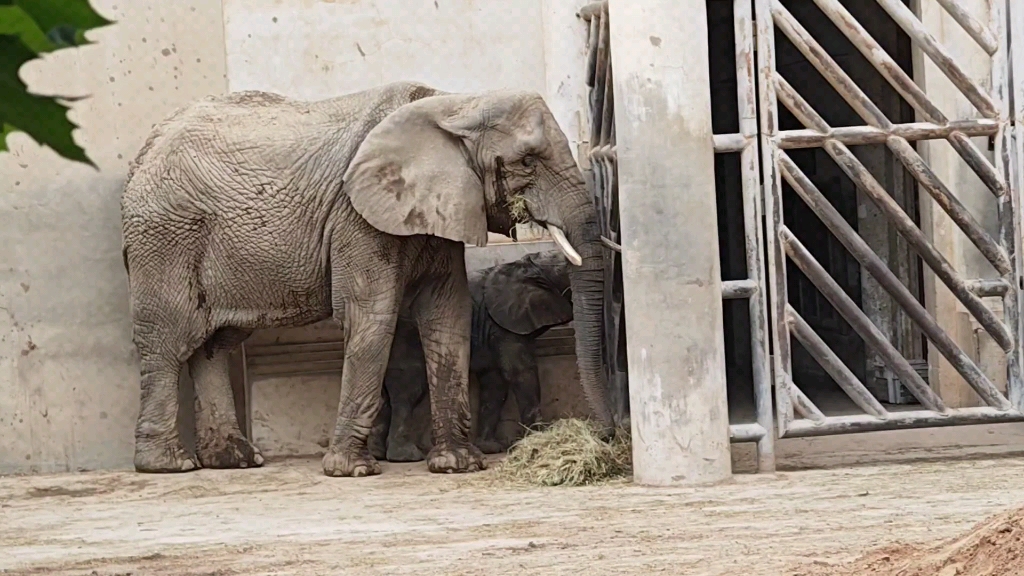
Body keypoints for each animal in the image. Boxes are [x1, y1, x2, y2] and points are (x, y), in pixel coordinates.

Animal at [370, 249, 577, 459]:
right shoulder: (504, 326)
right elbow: (520, 373)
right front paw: (541, 436)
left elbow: (495, 384)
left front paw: (489, 448)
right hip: (405, 334)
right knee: (408, 389)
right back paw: (405, 456)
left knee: (385, 394)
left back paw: (377, 453)